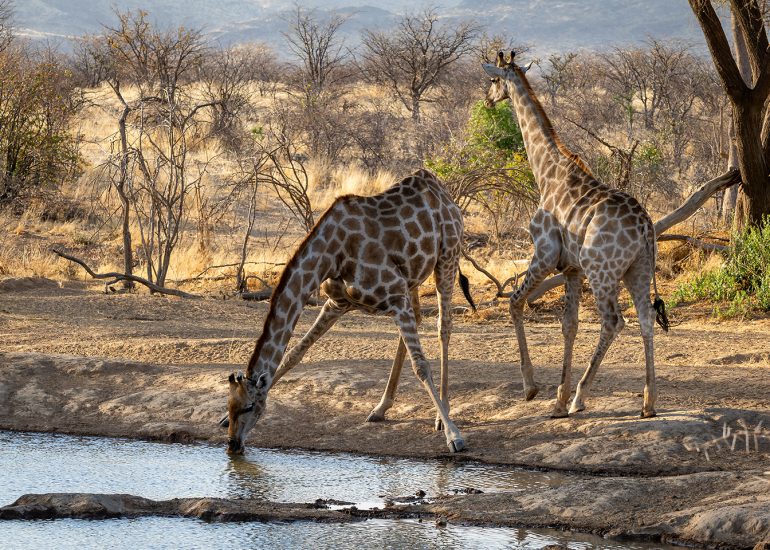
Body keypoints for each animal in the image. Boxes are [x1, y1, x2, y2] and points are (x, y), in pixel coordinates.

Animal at [220, 169, 475, 455]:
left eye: (250, 406)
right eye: (230, 405)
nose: (233, 445)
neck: (332, 255)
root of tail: (443, 192)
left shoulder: (395, 297)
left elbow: (420, 365)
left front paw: (454, 436)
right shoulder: (338, 303)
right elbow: (295, 354)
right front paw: (221, 419)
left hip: (447, 257)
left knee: (444, 327)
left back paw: (443, 414)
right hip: (412, 279)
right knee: (420, 318)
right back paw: (381, 408)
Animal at [483, 51, 668, 419]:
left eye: (494, 79)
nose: (488, 99)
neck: (545, 172)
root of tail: (644, 227)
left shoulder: (544, 254)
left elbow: (514, 301)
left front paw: (533, 388)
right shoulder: (571, 269)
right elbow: (569, 325)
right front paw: (557, 399)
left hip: (602, 270)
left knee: (614, 321)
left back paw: (581, 397)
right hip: (637, 269)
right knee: (645, 318)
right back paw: (648, 402)